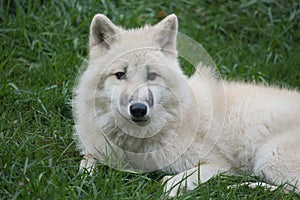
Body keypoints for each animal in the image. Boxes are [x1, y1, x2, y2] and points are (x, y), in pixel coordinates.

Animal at [74, 14, 300, 197]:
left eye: (151, 75)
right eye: (120, 74)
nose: (138, 109)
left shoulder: (218, 165)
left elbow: (170, 183)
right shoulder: (99, 150)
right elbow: (85, 165)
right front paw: (86, 180)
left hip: (269, 156)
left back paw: (243, 187)